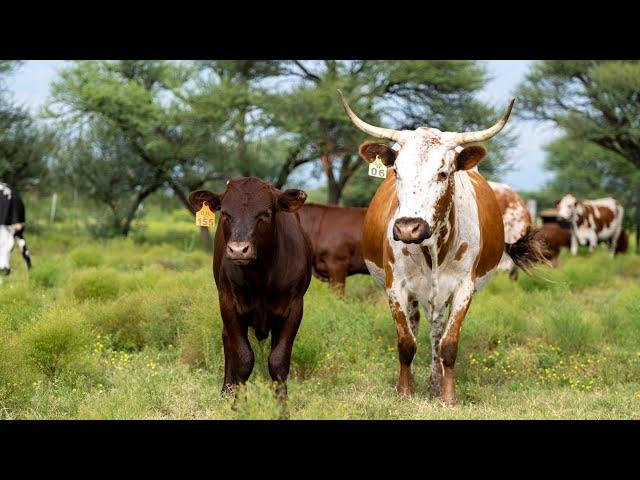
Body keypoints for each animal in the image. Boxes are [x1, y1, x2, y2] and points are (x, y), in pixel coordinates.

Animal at [188, 176, 312, 404]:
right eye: (225, 213)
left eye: (265, 213)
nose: (238, 250)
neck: (261, 276)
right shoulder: (228, 303)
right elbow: (243, 358)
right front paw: (238, 405)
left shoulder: (295, 307)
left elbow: (278, 361)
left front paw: (281, 406)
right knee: (227, 339)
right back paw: (227, 391)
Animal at [338, 90, 548, 404]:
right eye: (396, 171)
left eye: (443, 173)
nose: (408, 227)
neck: (433, 249)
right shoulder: (395, 286)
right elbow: (405, 343)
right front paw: (404, 391)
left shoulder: (463, 289)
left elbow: (448, 344)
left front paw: (447, 396)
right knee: (415, 326)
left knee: (436, 334)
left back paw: (435, 382)